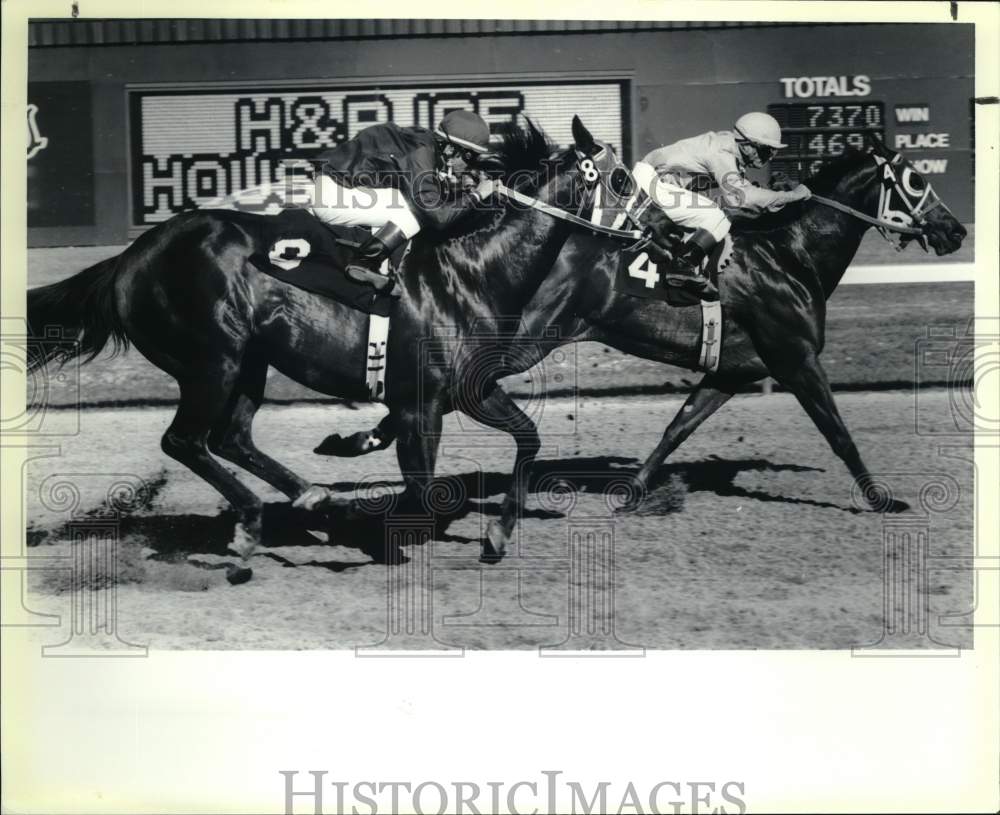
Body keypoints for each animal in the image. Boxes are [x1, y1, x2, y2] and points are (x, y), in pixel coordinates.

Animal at [29, 118, 632, 572]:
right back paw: (254, 523)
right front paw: (372, 525)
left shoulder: (471, 389)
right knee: (184, 440)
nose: (650, 234)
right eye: (624, 179)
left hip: (249, 360)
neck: (471, 271)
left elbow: (527, 440)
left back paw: (305, 497)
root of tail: (129, 259)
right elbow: (421, 490)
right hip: (211, 359)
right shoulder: (420, 402)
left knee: (229, 437)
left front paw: (497, 536)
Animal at [316, 135, 964, 540]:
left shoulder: (732, 372)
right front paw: (882, 498)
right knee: (449, 386)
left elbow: (676, 429)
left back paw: (355, 440)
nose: (954, 231)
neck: (790, 254)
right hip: (525, 336)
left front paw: (633, 491)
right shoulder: (795, 359)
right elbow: (840, 435)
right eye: (914, 178)